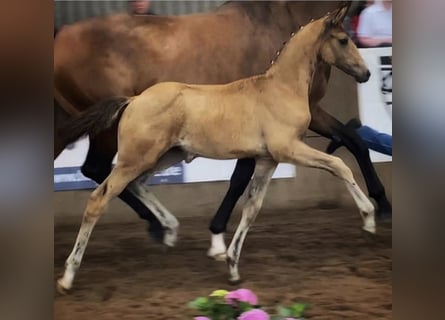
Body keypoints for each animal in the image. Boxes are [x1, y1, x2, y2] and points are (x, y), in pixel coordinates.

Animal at [56, 5, 374, 290]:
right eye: (343, 39)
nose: (366, 73)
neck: (279, 89)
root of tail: (133, 100)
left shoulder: (267, 160)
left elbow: (252, 208)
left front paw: (232, 266)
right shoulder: (289, 149)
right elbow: (339, 165)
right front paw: (369, 218)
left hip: (164, 155)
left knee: (136, 184)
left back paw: (169, 229)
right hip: (135, 158)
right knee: (98, 198)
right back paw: (68, 276)